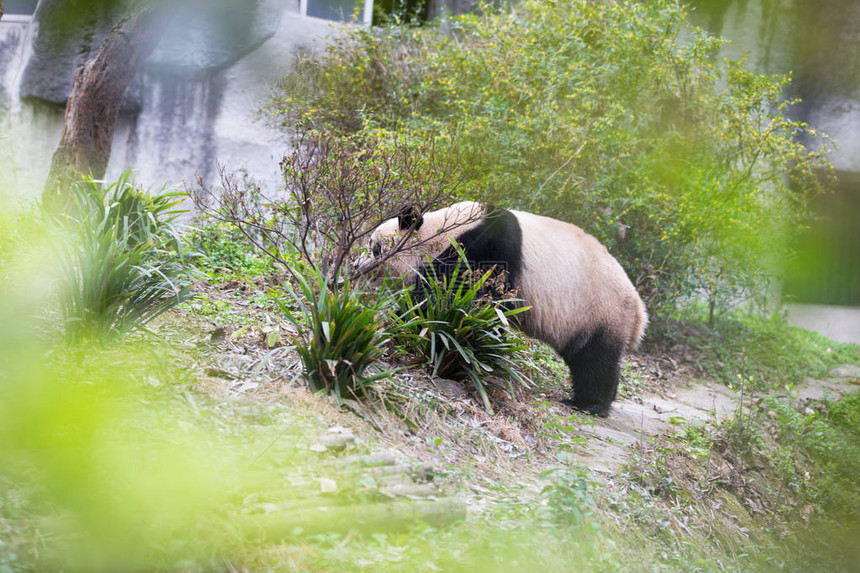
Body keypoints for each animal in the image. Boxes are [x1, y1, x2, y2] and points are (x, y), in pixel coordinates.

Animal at [366, 201, 648, 416]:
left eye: (374, 247)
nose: (358, 265)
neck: (443, 231)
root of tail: (639, 310)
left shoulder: (485, 247)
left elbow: (459, 297)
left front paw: (400, 327)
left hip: (602, 310)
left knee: (595, 359)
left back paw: (589, 404)